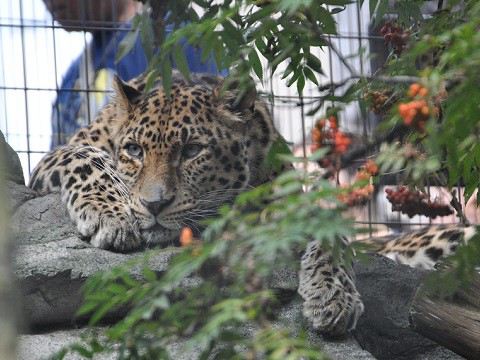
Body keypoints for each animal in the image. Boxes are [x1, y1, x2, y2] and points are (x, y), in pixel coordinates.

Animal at [26, 69, 472, 338]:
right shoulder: (53, 159)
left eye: (192, 151)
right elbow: (87, 158)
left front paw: (334, 298)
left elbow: (331, 233)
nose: (154, 205)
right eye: (134, 150)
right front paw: (111, 216)